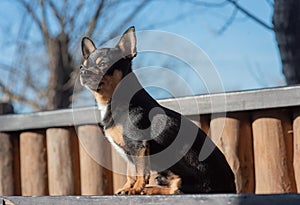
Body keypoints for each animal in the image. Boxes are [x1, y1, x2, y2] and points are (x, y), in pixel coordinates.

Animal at [79, 26, 237, 195]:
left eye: (103, 64)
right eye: (82, 66)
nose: (83, 72)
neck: (110, 101)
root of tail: (231, 187)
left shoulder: (138, 145)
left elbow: (141, 172)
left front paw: (135, 189)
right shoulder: (130, 151)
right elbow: (131, 172)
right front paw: (128, 188)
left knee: (178, 188)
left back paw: (147, 189)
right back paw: (149, 189)